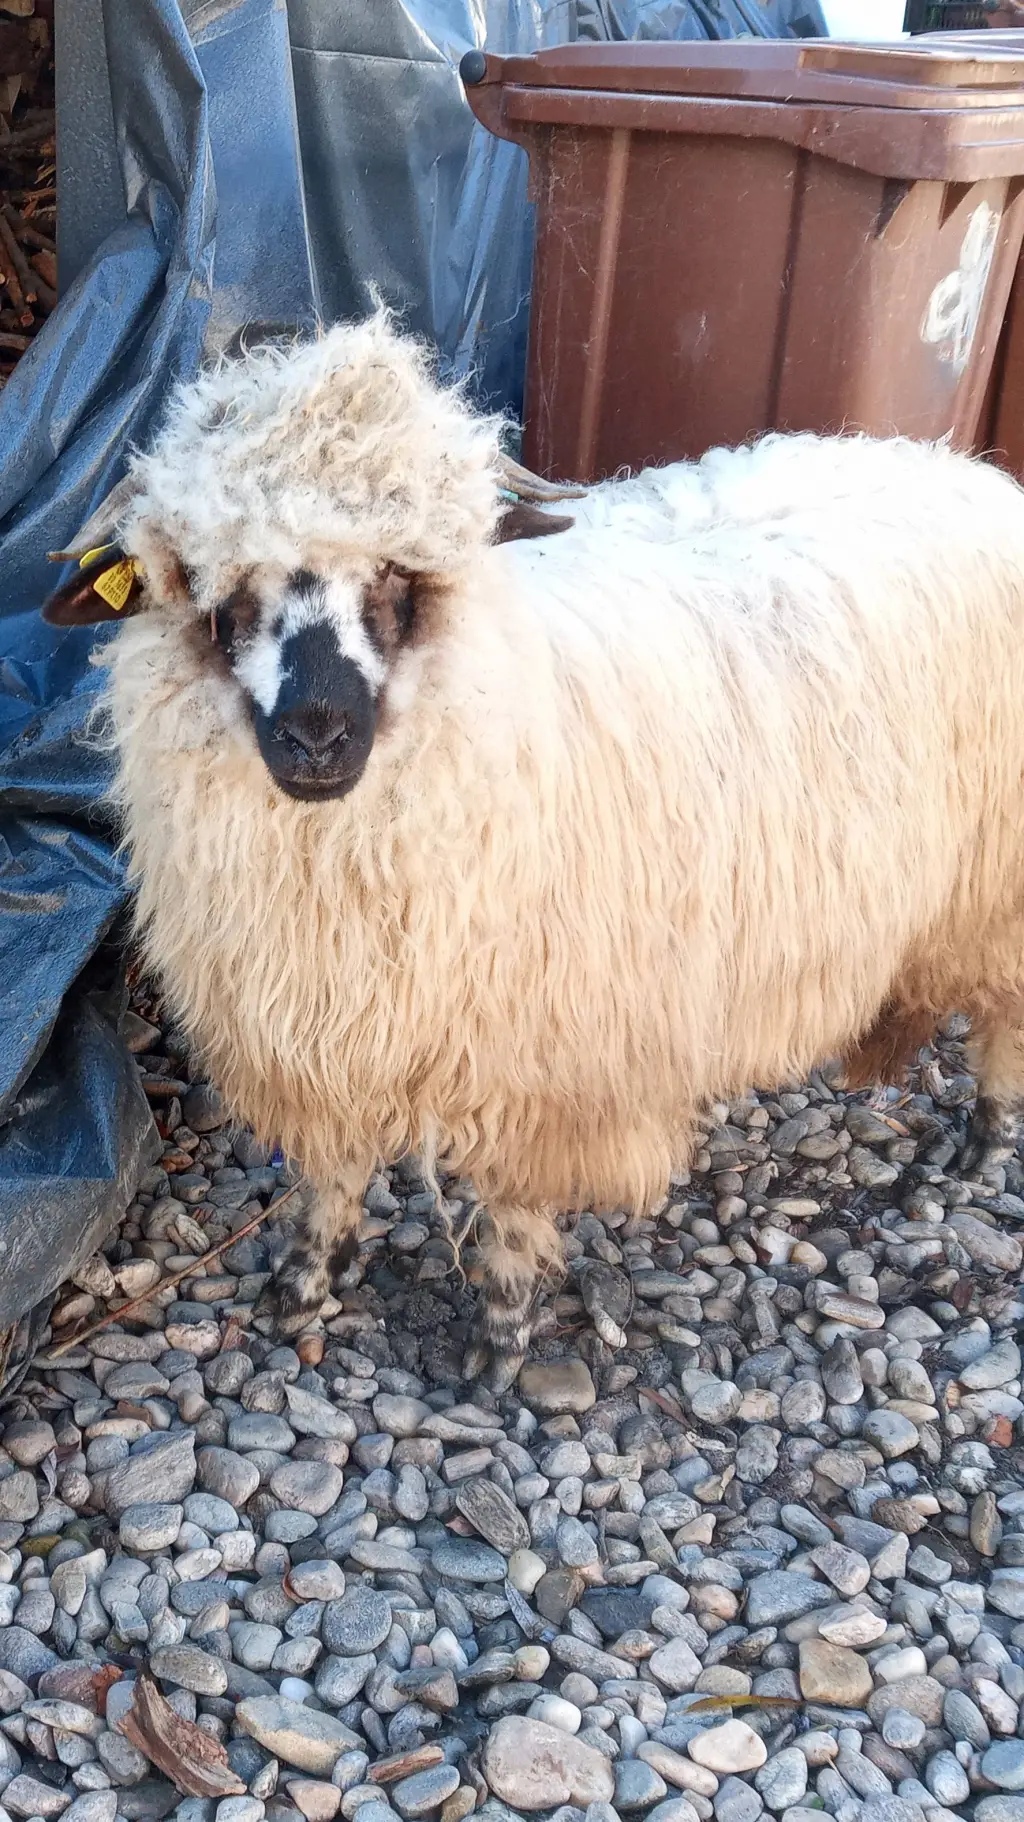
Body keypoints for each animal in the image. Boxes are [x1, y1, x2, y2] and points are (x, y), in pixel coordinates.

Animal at [43, 310, 1024, 1387]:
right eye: (210, 580)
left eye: (404, 571)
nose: (317, 736)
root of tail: (973, 474)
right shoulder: (319, 1028)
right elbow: (331, 1172)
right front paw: (306, 1281)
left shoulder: (543, 1054)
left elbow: (512, 1207)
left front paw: (502, 1338)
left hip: (1003, 884)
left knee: (1007, 1024)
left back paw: (973, 1150)